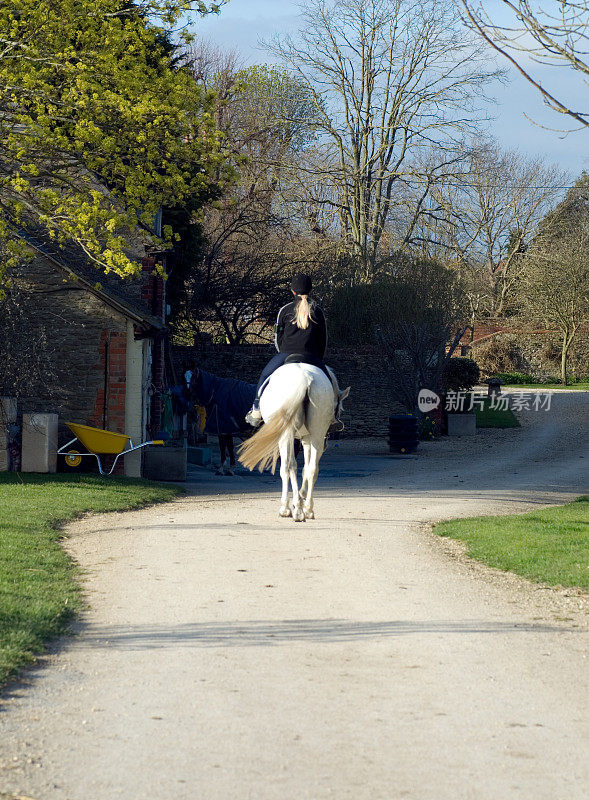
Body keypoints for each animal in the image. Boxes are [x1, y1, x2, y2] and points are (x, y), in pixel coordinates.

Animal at [238, 364, 350, 524]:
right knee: (313, 468)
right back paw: (308, 509)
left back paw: (296, 510)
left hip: (286, 434)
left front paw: (289, 507)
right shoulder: (307, 438)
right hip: (317, 432)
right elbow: (306, 469)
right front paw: (302, 497)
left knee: (289, 465)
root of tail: (305, 379)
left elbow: (287, 468)